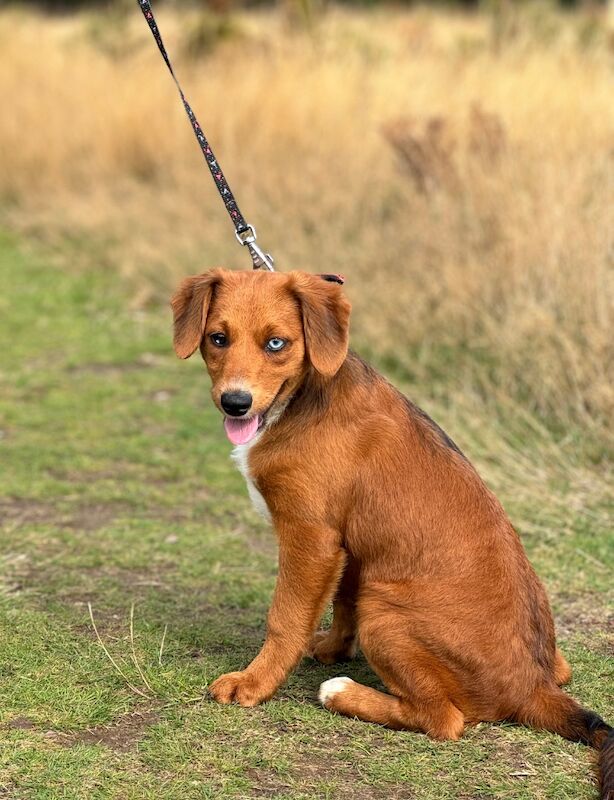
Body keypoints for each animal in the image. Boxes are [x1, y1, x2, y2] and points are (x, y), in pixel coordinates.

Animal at [170, 268, 614, 792]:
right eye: (217, 338)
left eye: (276, 343)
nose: (235, 404)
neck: (301, 399)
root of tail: (535, 688)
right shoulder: (347, 544)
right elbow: (340, 601)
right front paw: (332, 648)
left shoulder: (311, 535)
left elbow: (285, 618)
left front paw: (254, 684)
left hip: (384, 613)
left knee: (443, 720)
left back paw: (341, 693)